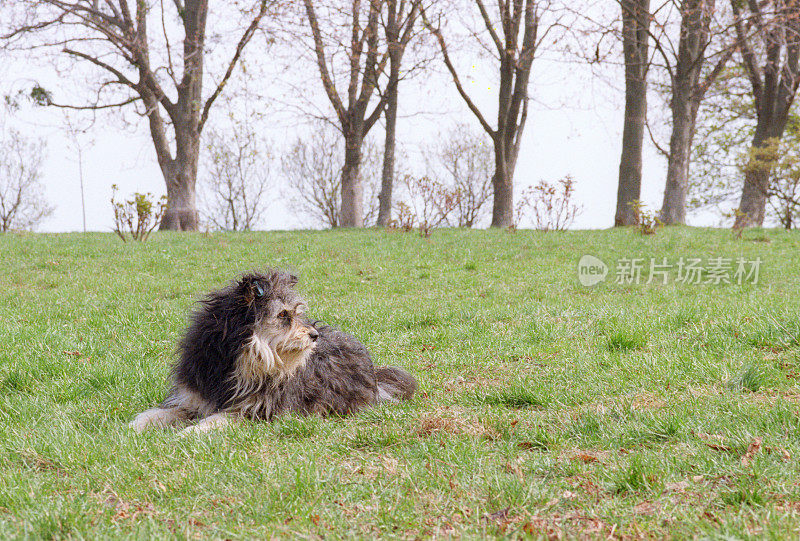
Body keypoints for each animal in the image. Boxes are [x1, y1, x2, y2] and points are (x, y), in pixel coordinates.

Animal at [128, 270, 416, 434]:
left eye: (296, 313)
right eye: (283, 315)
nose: (314, 335)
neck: (237, 362)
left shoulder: (257, 411)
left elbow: (215, 420)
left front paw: (188, 434)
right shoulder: (192, 398)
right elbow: (157, 413)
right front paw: (133, 427)